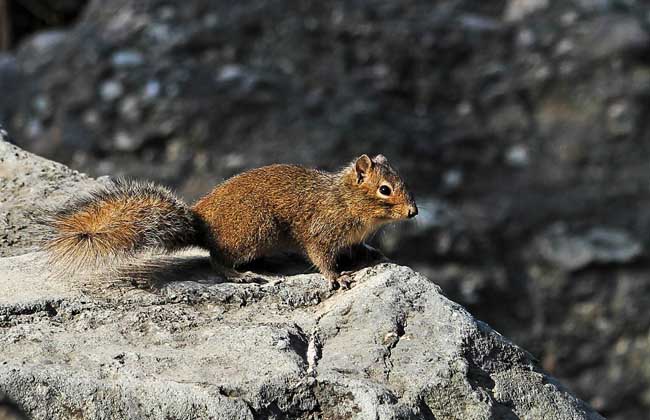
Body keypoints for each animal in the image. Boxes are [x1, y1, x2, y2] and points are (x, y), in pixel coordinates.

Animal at [46, 154, 420, 288]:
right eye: (385, 189)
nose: (414, 212)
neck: (345, 200)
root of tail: (200, 224)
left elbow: (358, 247)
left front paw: (371, 253)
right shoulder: (320, 232)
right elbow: (321, 258)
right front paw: (338, 277)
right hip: (255, 231)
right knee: (216, 259)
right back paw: (241, 274)